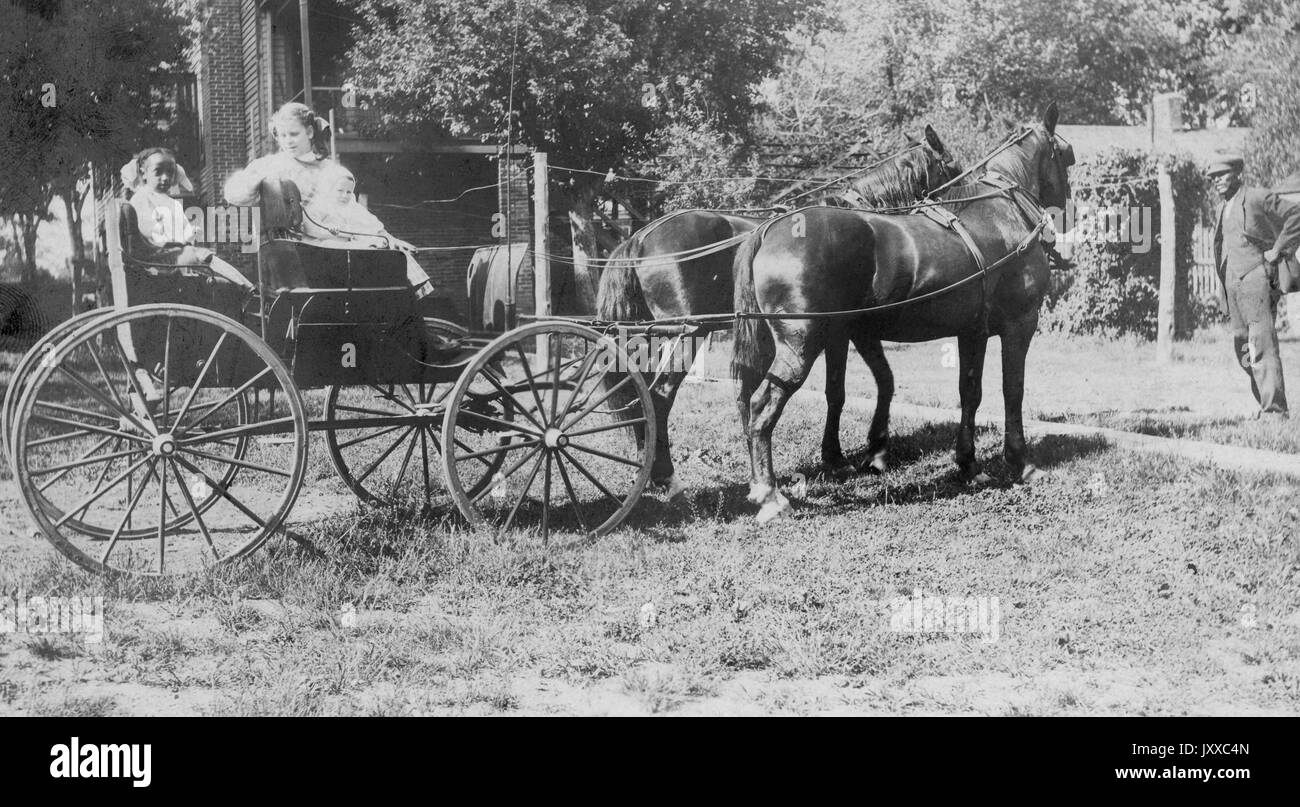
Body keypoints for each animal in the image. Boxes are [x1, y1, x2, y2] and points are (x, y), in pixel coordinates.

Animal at [595, 125, 956, 493]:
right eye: (950, 166)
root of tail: (641, 236)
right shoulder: (839, 332)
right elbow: (839, 391)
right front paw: (836, 458)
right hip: (686, 334)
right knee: (660, 397)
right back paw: (665, 473)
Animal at [733, 103, 1076, 522]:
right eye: (1067, 155)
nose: (1068, 215)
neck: (1002, 214)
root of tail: (769, 228)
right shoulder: (1019, 324)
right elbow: (1014, 390)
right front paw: (1022, 462)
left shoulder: (971, 331)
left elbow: (969, 392)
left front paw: (967, 464)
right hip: (801, 344)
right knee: (761, 406)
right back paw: (770, 494)